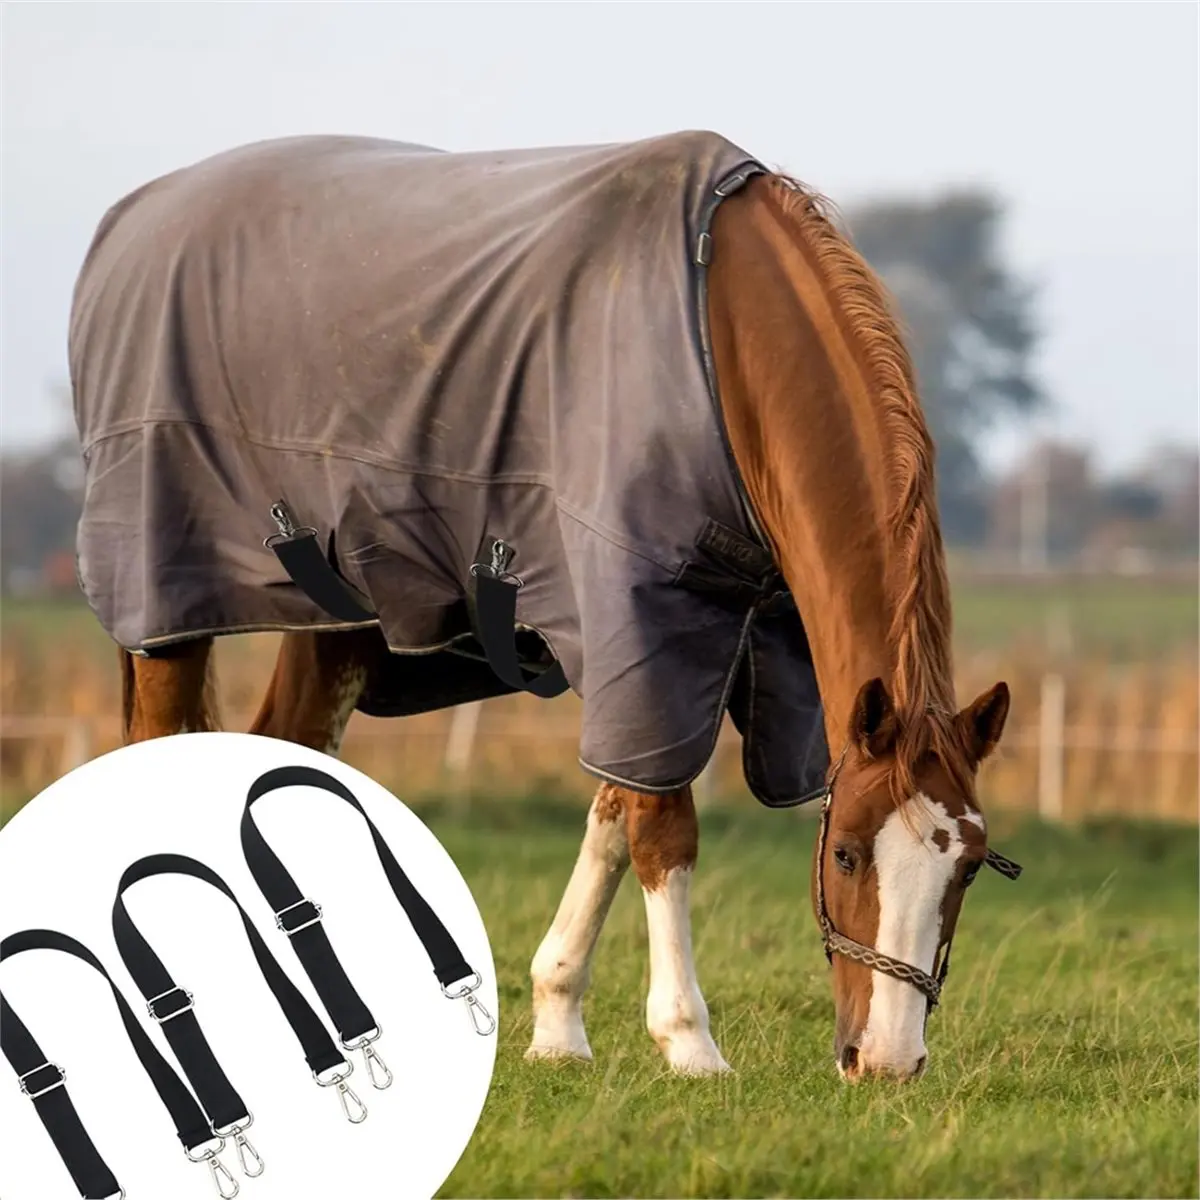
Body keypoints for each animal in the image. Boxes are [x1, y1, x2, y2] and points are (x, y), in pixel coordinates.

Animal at [77, 133, 1013, 1082]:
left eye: (971, 868)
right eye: (849, 853)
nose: (888, 1060)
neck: (721, 344)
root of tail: (133, 216)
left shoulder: (682, 645)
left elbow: (614, 815)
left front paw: (558, 1022)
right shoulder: (637, 618)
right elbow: (661, 829)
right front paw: (689, 1041)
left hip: (331, 621)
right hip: (166, 608)